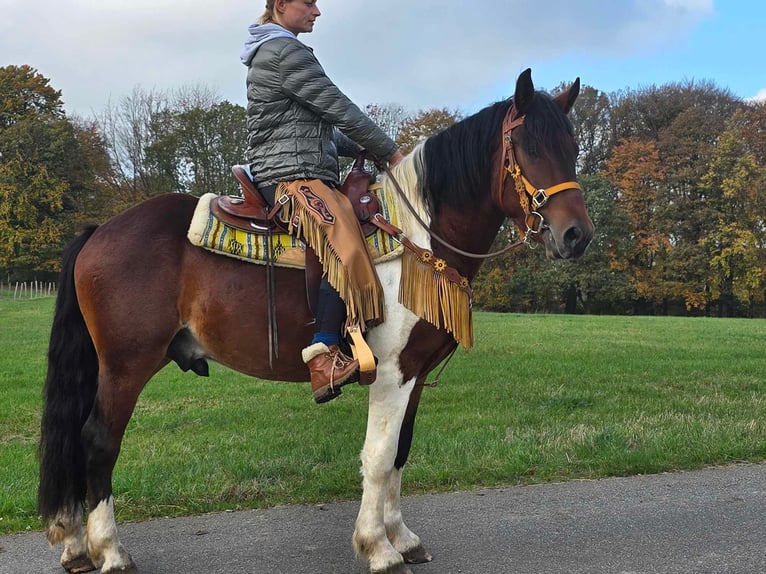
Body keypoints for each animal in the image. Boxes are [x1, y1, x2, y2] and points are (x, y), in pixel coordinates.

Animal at [39, 68, 596, 574]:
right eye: (528, 147)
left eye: (572, 147)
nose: (577, 236)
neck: (418, 235)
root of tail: (99, 230)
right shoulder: (391, 372)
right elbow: (378, 456)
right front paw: (378, 548)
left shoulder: (413, 373)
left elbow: (400, 452)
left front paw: (403, 538)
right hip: (126, 365)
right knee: (98, 441)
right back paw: (110, 552)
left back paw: (76, 548)